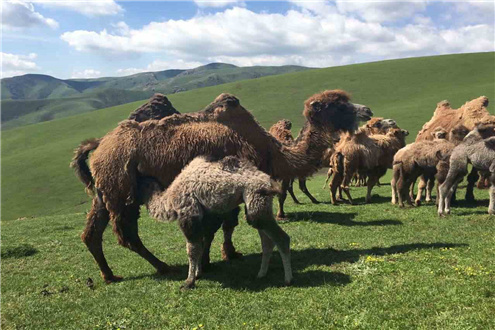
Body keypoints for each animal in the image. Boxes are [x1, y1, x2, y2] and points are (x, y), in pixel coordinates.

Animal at [140, 156, 292, 288]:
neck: (169, 199)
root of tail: (270, 183)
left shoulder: (189, 213)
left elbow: (192, 249)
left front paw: (189, 282)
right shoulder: (202, 216)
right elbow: (200, 244)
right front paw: (198, 273)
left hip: (255, 199)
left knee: (281, 238)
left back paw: (287, 279)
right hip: (258, 206)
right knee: (267, 240)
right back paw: (261, 274)